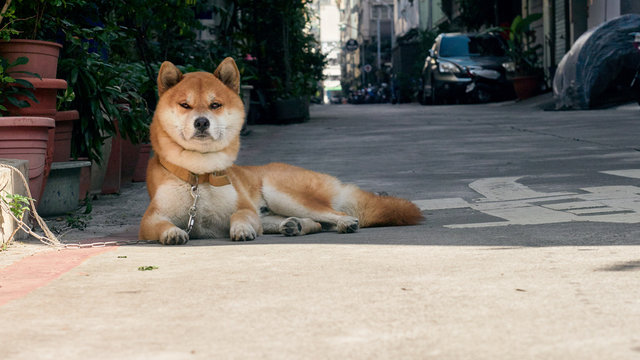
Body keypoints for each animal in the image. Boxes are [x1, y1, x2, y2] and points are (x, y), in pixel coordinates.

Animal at [138, 58, 422, 245]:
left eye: (215, 105)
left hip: (281, 192)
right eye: (185, 105)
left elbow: (241, 215)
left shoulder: (245, 208)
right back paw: (293, 225)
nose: (201, 122)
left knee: (334, 214)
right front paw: (172, 233)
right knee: (314, 224)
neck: (199, 175)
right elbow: (161, 224)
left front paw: (241, 230)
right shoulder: (151, 218)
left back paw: (344, 223)